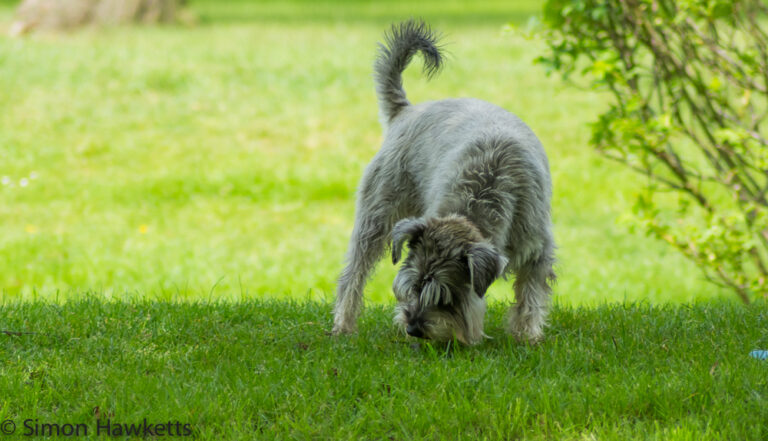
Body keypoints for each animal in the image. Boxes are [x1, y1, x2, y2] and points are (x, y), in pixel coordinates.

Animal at [332, 19, 556, 344]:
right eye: (411, 287)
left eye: (445, 297)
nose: (413, 328)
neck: (488, 191)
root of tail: (407, 111)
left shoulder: (536, 250)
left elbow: (531, 295)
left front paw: (527, 335)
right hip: (375, 217)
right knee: (354, 273)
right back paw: (344, 324)